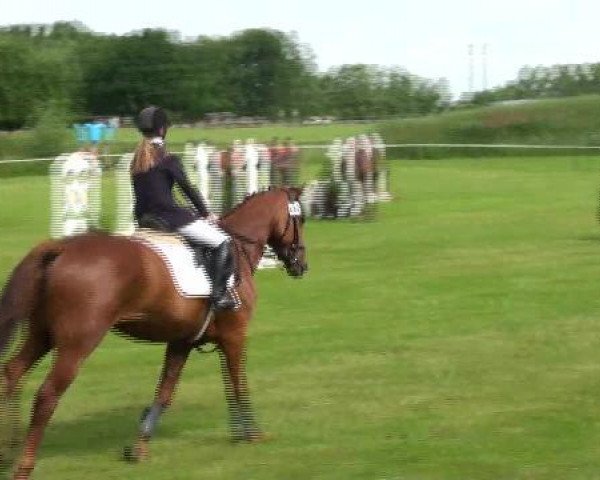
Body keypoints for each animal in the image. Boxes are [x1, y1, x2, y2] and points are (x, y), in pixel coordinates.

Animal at [0, 186, 308, 478]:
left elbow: (165, 392)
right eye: (300, 219)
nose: (301, 265)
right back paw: (24, 465)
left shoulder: (182, 342)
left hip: (43, 334)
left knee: (12, 371)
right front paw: (253, 434)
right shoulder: (235, 336)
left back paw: (9, 449)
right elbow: (238, 383)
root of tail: (61, 247)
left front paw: (139, 448)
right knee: (47, 395)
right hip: (77, 343)